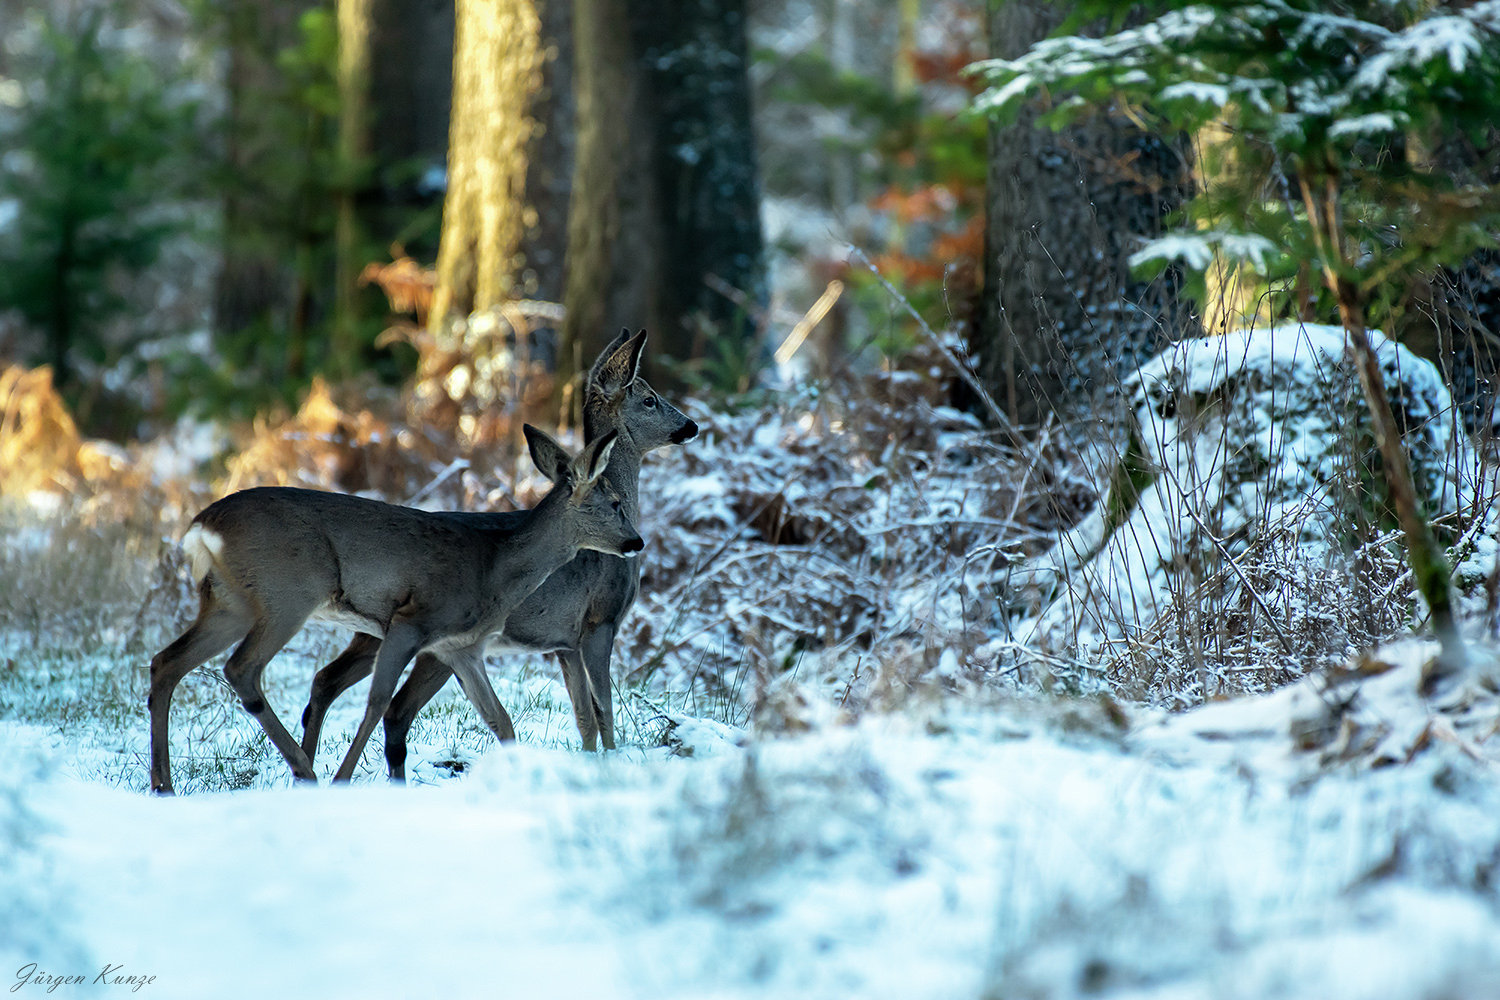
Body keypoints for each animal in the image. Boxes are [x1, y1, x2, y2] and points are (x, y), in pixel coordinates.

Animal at [149, 425, 642, 791]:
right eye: (615, 503)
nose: (636, 542)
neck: (494, 568)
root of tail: (201, 526)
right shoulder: (411, 621)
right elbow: (378, 701)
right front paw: (342, 780)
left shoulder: (458, 647)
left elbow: (500, 720)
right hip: (286, 594)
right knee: (241, 668)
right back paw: (305, 770)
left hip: (228, 602)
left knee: (166, 662)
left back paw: (164, 785)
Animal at [303, 328, 702, 773]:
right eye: (649, 398)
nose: (691, 425)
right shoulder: (600, 620)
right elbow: (605, 711)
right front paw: (613, 765)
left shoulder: (563, 642)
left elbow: (584, 719)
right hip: (426, 640)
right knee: (389, 705)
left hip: (382, 634)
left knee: (332, 681)